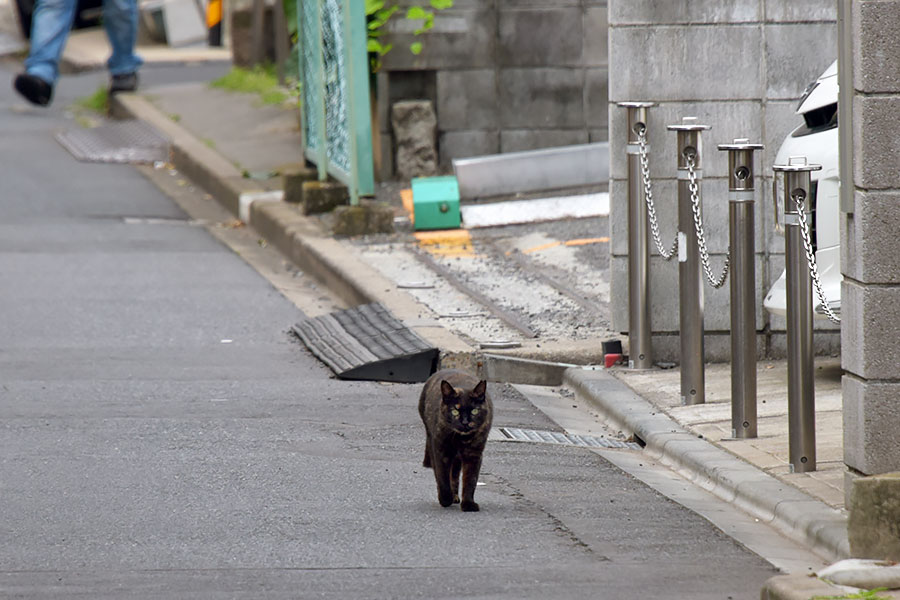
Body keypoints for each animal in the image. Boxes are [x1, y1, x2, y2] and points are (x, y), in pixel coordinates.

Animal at [416, 368, 492, 512]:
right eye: (455, 411)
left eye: (474, 411)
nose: (465, 422)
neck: (461, 438)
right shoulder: (441, 451)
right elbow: (442, 477)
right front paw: (445, 499)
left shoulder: (474, 454)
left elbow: (471, 480)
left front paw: (468, 504)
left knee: (455, 474)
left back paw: (456, 496)